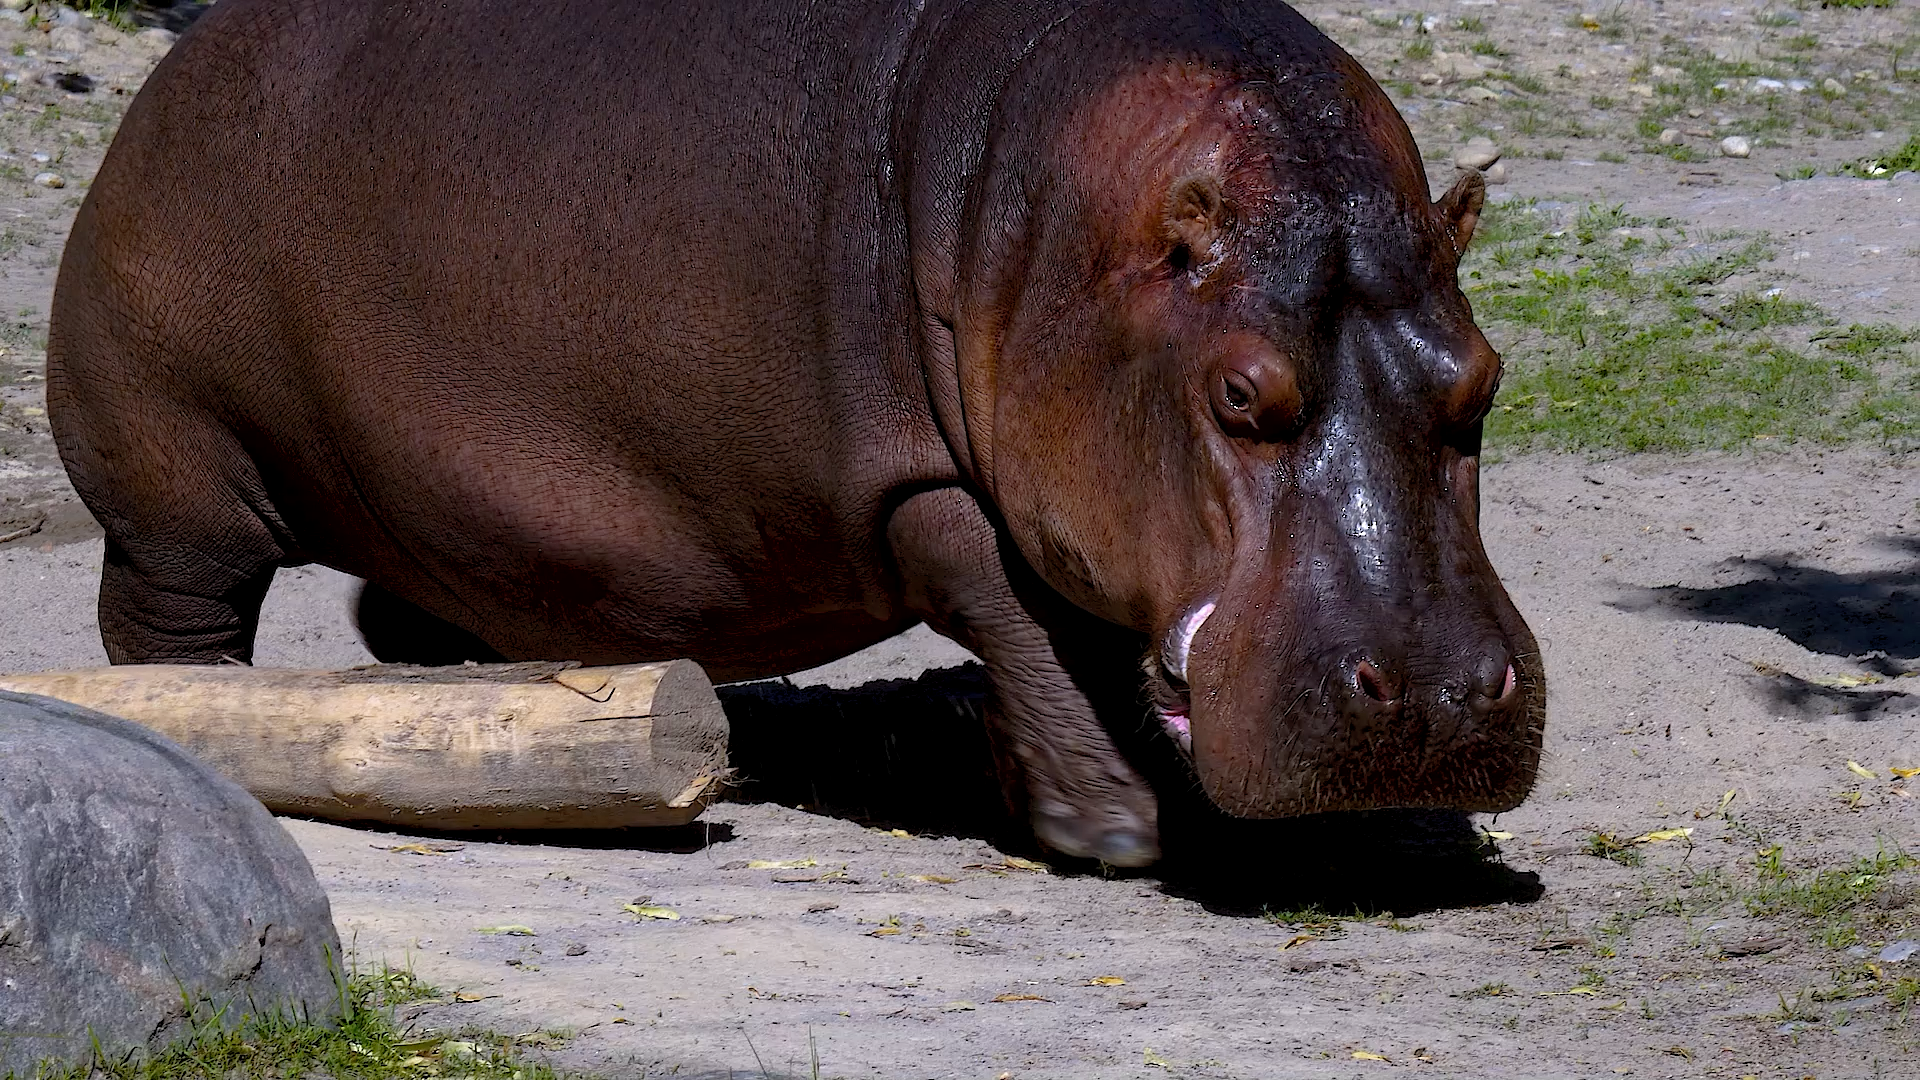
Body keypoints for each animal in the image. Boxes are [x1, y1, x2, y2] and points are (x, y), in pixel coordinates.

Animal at [45, 0, 1543, 860]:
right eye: (1240, 394)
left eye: (1483, 378)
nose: (1430, 700)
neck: (1073, 231)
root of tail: (170, 71)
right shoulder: (925, 485)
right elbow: (1027, 620)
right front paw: (1114, 827)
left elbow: (1059, 632)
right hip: (179, 482)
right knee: (174, 625)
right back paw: (216, 745)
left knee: (407, 604)